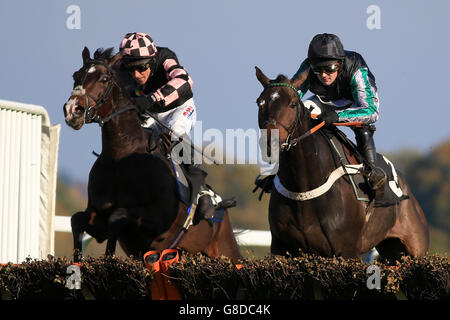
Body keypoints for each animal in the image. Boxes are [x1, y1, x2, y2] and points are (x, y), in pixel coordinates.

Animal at [63, 47, 243, 262]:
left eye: (104, 78)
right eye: (76, 76)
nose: (73, 110)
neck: (121, 156)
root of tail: (222, 207)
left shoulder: (158, 224)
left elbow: (117, 217)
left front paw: (109, 257)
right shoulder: (97, 218)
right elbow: (77, 220)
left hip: (227, 252)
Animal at [256, 66, 428, 262]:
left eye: (292, 104)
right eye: (260, 103)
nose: (270, 142)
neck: (303, 187)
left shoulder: (347, 250)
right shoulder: (280, 248)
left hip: (415, 250)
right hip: (391, 251)